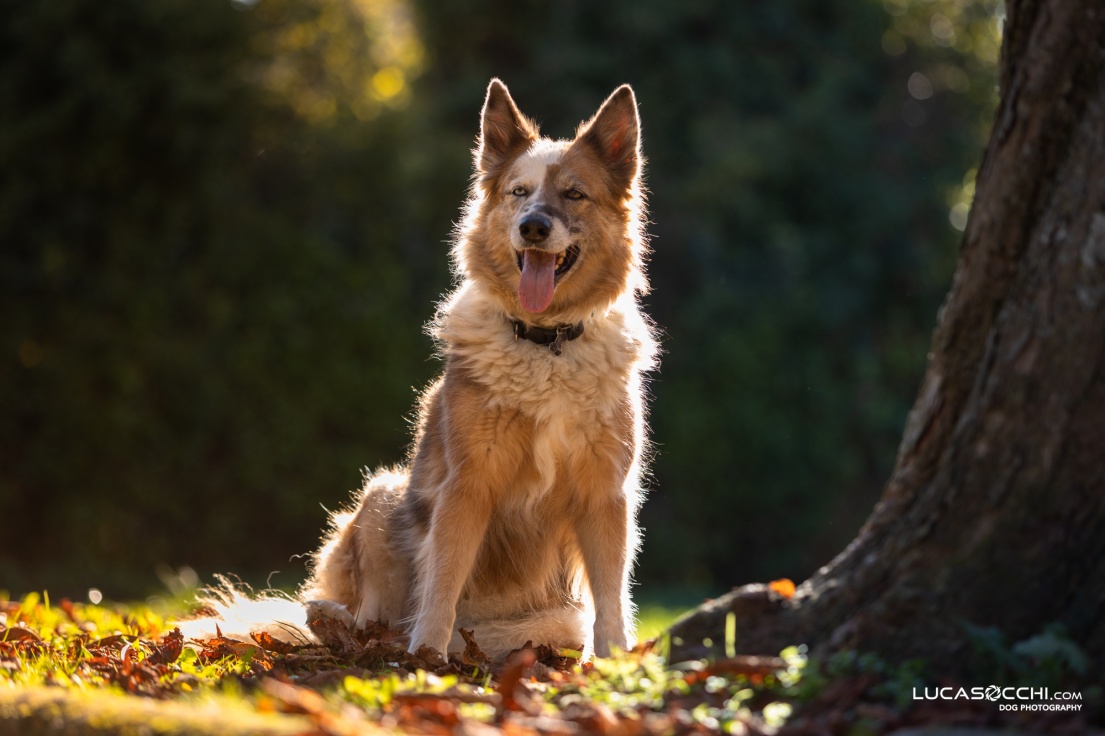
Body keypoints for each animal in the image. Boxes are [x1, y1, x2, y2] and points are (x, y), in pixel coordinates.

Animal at [187, 81, 654, 658]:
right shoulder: (467, 485)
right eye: (519, 192)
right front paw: (428, 655)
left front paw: (615, 660)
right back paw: (347, 627)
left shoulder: (605, 493)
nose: (532, 227)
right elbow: (443, 579)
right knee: (368, 615)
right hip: (381, 498)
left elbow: (611, 595)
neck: (545, 346)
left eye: (573, 194)